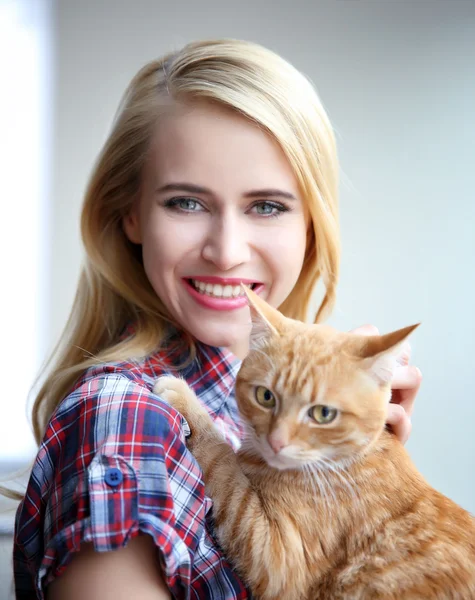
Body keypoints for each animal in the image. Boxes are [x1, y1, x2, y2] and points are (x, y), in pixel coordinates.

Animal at [155, 290, 475, 596]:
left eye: (324, 414)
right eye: (265, 396)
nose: (276, 441)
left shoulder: (277, 553)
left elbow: (223, 462)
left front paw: (187, 401)